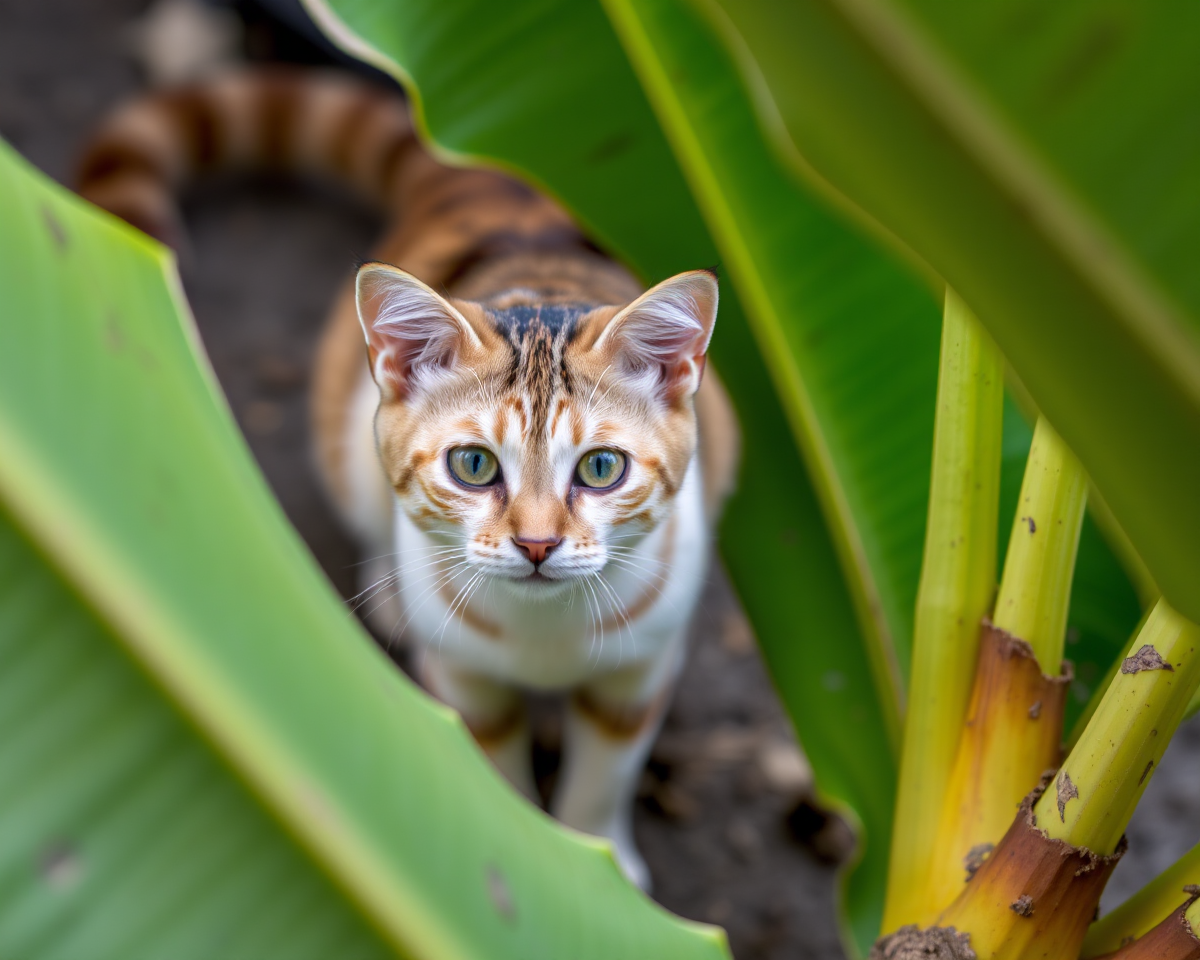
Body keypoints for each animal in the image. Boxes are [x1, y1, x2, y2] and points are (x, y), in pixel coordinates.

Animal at [77, 63, 739, 888]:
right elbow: (495, 773)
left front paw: (603, 859)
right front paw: (534, 859)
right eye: (474, 464)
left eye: (601, 468)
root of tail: (493, 186)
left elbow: (607, 769)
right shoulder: (462, 678)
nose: (538, 545)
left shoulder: (644, 664)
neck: (541, 635)